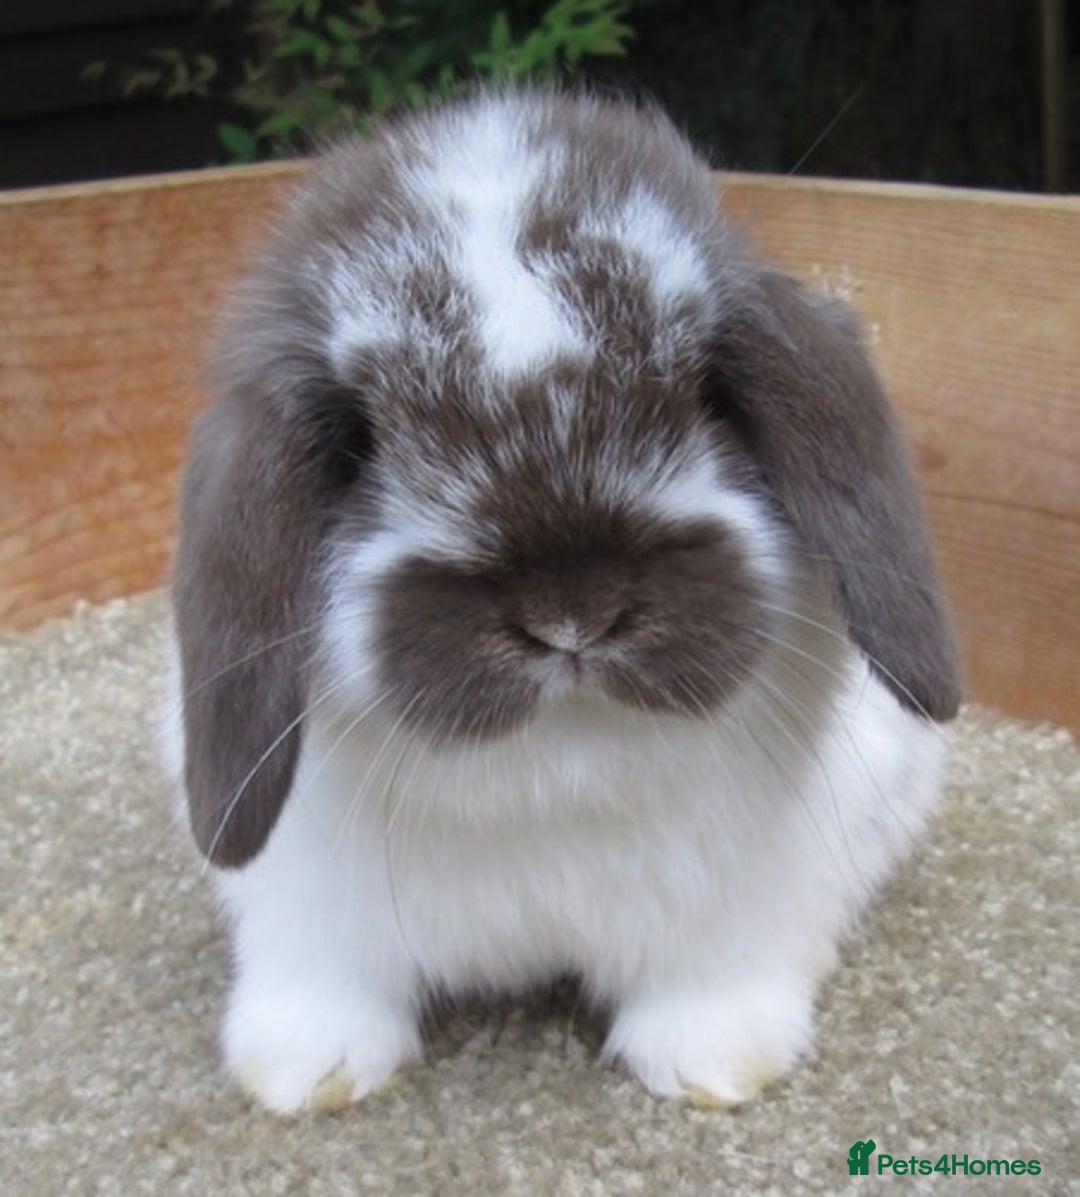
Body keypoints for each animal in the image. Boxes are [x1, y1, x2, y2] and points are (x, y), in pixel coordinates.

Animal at [167, 89, 960, 1114]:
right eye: (359, 441)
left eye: (709, 391)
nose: (572, 613)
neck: (562, 766)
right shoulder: (308, 907)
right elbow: (326, 980)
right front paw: (307, 1075)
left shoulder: (736, 900)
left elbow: (709, 979)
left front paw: (712, 1067)